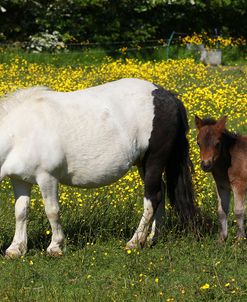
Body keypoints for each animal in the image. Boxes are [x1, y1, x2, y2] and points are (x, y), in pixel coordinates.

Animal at [0, 78, 195, 258]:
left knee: (152, 197)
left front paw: (55, 247)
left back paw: (134, 242)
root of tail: (169, 96)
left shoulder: (47, 177)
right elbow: (21, 211)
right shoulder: (20, 179)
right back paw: (151, 239)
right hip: (143, 164)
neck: (21, 132)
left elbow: (52, 211)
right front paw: (15, 249)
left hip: (155, 159)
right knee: (161, 191)